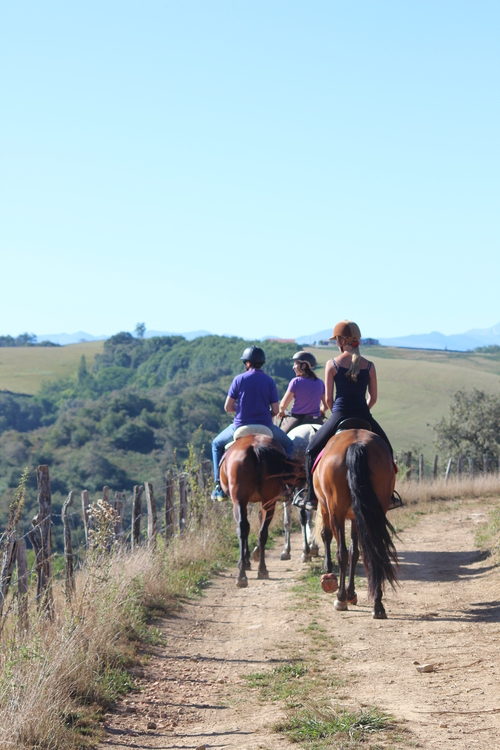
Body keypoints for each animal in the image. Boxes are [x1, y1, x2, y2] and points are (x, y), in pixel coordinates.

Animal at [220, 432, 304, 592]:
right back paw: (261, 570)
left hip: (240, 501)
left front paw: (245, 561)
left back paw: (242, 575)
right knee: (262, 532)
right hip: (268, 501)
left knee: (242, 528)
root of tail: (256, 448)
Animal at [312, 426, 398, 620]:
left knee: (342, 552)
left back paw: (340, 598)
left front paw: (333, 579)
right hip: (375, 511)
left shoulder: (326, 507)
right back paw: (377, 605)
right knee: (374, 553)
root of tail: (356, 444)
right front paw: (352, 593)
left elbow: (329, 537)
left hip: (336, 511)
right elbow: (355, 551)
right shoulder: (356, 517)